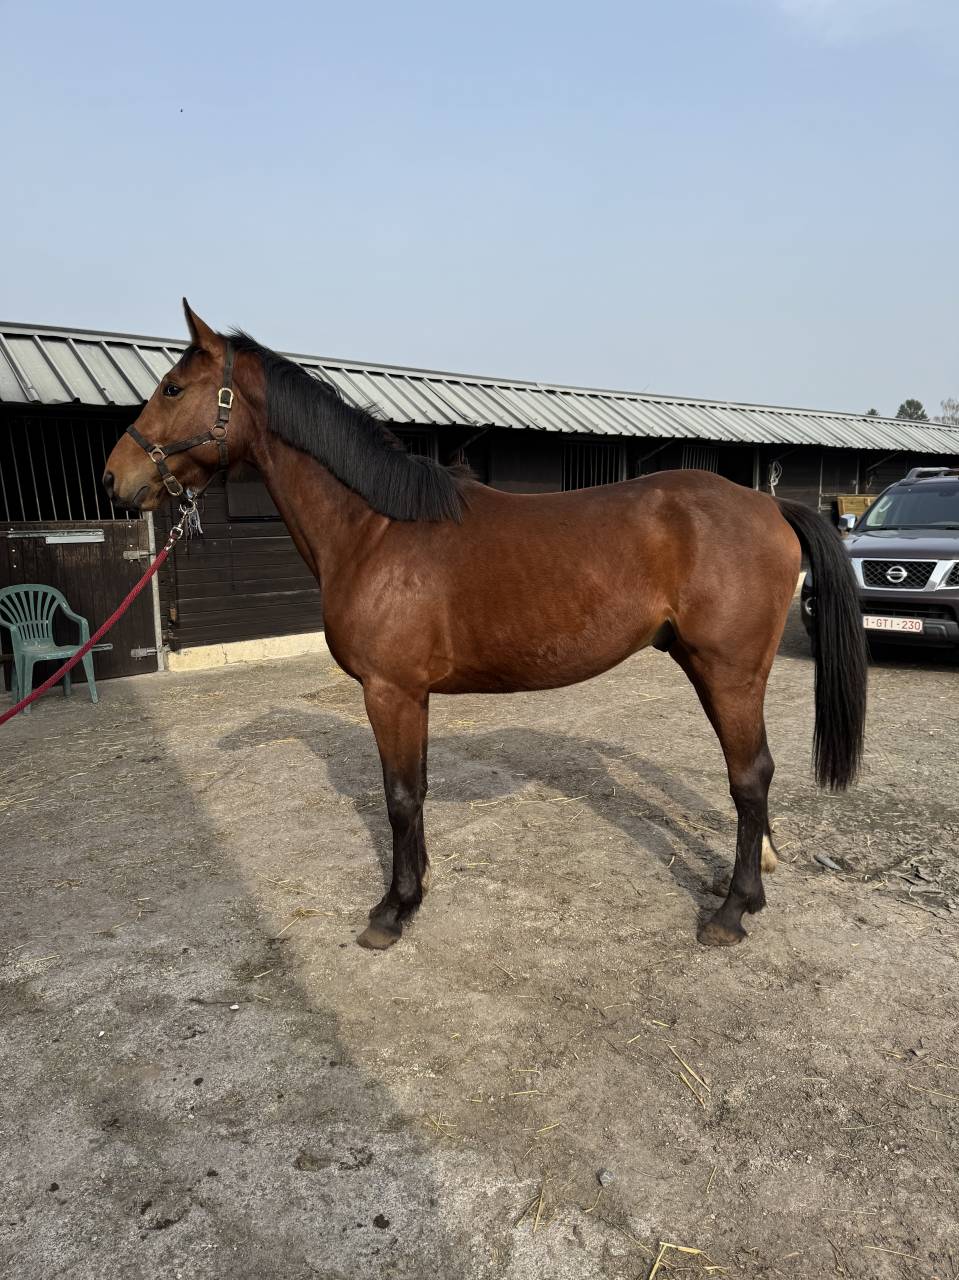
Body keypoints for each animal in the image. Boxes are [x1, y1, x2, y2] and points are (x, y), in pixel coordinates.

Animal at [104, 302, 867, 951]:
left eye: (172, 388)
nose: (115, 478)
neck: (377, 529)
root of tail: (769, 507)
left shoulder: (389, 691)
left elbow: (399, 798)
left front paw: (392, 912)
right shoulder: (411, 696)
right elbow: (416, 790)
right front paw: (416, 891)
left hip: (728, 671)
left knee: (750, 776)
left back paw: (731, 912)